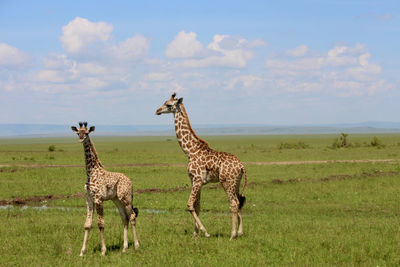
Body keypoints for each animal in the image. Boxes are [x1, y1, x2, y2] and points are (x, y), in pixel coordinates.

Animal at [71, 122, 140, 256]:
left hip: (126, 198)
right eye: (78, 133)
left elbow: (100, 224)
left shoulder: (98, 199)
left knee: (132, 216)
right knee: (124, 218)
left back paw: (136, 246)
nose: (81, 138)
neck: (91, 172)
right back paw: (124, 248)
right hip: (116, 199)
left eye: (86, 132)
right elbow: (87, 225)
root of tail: (130, 181)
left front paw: (103, 251)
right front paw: (82, 252)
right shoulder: (89, 200)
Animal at [155, 94, 247, 241]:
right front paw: (195, 234)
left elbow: (189, 205)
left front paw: (205, 232)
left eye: (168, 105)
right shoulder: (195, 180)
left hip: (227, 182)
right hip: (236, 182)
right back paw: (239, 232)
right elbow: (197, 206)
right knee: (238, 202)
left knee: (233, 203)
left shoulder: (197, 179)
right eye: (164, 102)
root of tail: (242, 166)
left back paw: (232, 235)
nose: (157, 110)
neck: (190, 151)